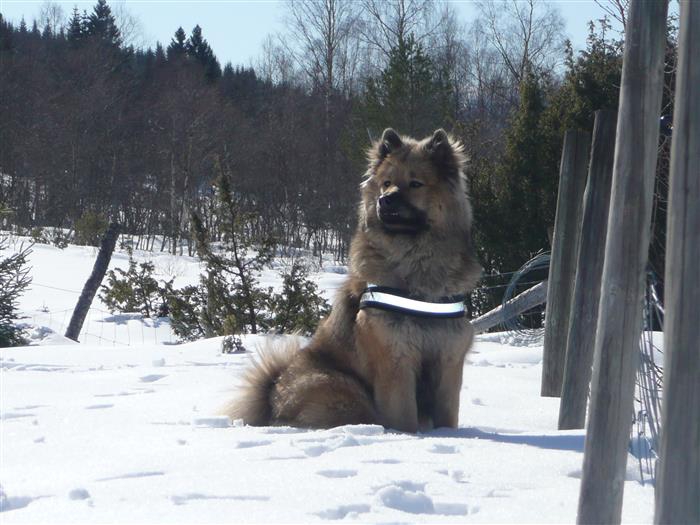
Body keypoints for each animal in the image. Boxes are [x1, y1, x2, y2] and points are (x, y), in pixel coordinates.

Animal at [225, 128, 481, 432]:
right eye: (386, 184)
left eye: (415, 183)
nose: (385, 200)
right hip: (345, 389)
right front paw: (407, 436)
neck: (416, 261)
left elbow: (447, 418)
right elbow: (404, 417)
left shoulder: (449, 359)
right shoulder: (395, 358)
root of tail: (272, 395)